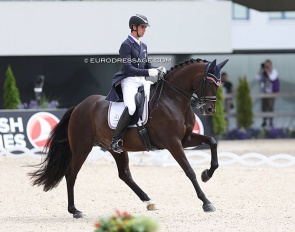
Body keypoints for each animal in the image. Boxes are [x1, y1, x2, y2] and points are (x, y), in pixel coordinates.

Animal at [28, 57, 230, 218]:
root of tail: (79, 106)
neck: (173, 99)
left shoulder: (186, 139)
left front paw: (207, 174)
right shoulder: (173, 143)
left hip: (115, 148)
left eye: (218, 83)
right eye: (209, 82)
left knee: (124, 174)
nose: (209, 110)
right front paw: (206, 202)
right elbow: (189, 171)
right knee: (71, 174)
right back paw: (75, 211)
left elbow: (212, 142)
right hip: (81, 148)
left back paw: (149, 201)